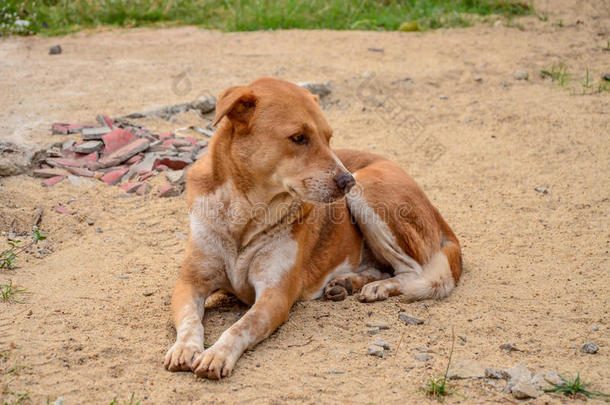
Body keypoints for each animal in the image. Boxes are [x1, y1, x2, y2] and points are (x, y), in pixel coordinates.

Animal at [164, 77, 458, 378]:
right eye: (298, 138)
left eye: (329, 138)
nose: (346, 181)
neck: (245, 213)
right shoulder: (190, 283)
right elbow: (189, 320)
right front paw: (185, 348)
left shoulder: (274, 296)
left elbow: (240, 327)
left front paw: (217, 354)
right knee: (382, 267)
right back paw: (346, 283)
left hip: (368, 191)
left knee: (414, 272)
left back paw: (378, 288)